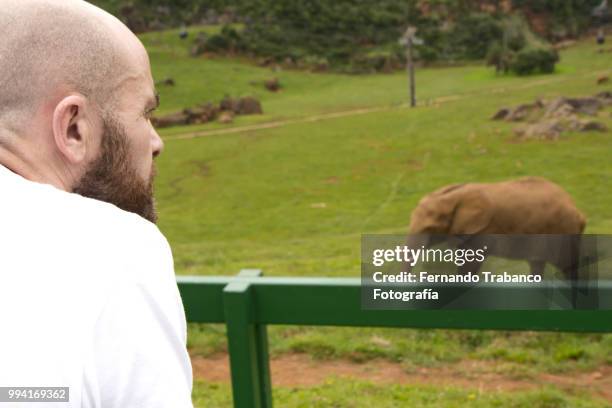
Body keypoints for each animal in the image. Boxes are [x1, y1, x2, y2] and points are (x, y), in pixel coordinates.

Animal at [406, 177, 588, 278]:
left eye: (428, 229)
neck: (451, 195)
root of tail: (577, 210)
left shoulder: (481, 230)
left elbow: (469, 265)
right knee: (537, 264)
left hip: (563, 230)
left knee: (568, 267)